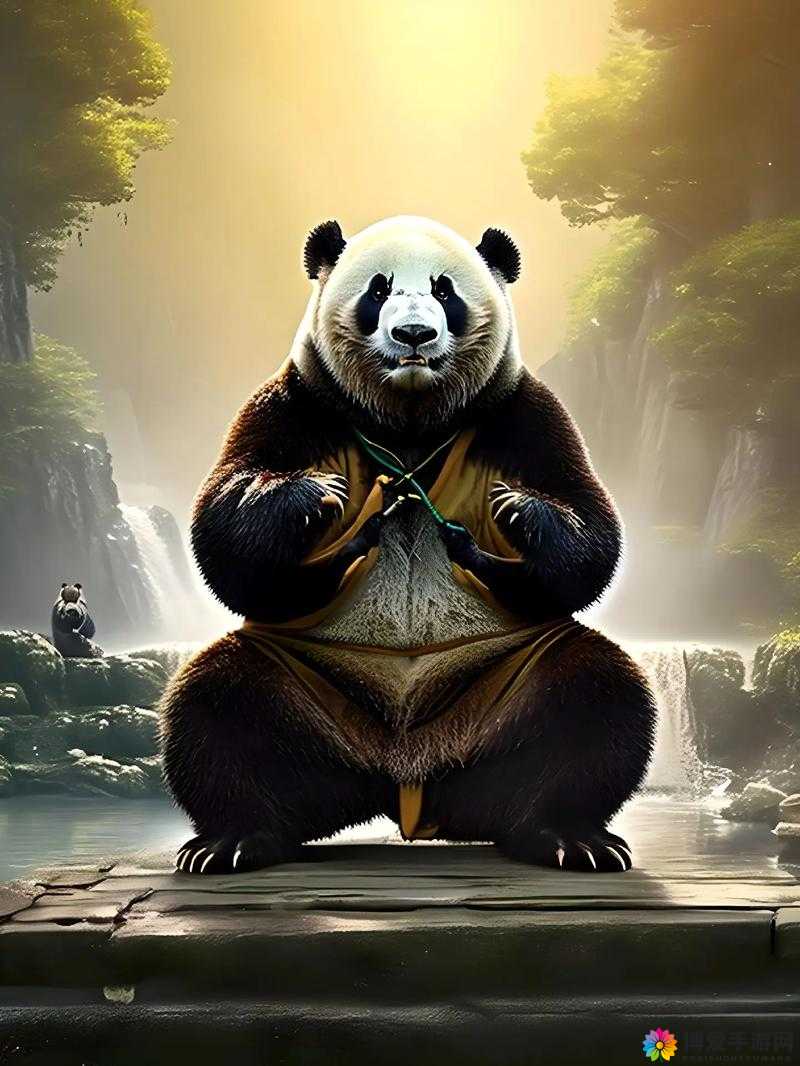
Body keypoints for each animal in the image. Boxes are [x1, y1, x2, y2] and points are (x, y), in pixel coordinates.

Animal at [161, 216, 656, 876]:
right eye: (378, 290)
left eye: (445, 291)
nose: (414, 334)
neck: (409, 422)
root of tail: (405, 774)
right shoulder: (297, 402)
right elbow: (226, 535)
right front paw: (315, 495)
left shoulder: (521, 411)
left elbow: (589, 529)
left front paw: (517, 508)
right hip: (310, 676)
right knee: (218, 705)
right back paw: (235, 840)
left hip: (501, 678)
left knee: (594, 696)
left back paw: (568, 837)